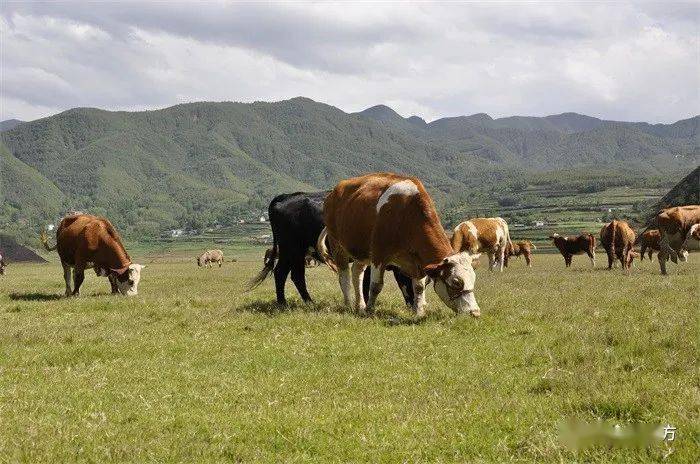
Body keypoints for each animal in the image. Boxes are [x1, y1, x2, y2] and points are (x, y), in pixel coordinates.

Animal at [247, 190, 412, 306]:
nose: (412, 306)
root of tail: (287, 196)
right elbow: (366, 283)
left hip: (295, 253)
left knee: (292, 275)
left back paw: (305, 302)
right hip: (291, 249)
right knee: (284, 273)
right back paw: (287, 303)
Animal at [318, 172, 478, 318]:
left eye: (473, 279)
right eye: (456, 282)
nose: (475, 312)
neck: (407, 214)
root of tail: (335, 191)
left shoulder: (418, 261)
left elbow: (418, 287)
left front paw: (419, 312)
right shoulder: (379, 254)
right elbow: (376, 286)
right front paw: (370, 310)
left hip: (361, 250)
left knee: (357, 274)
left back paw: (360, 306)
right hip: (337, 244)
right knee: (344, 276)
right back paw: (349, 304)